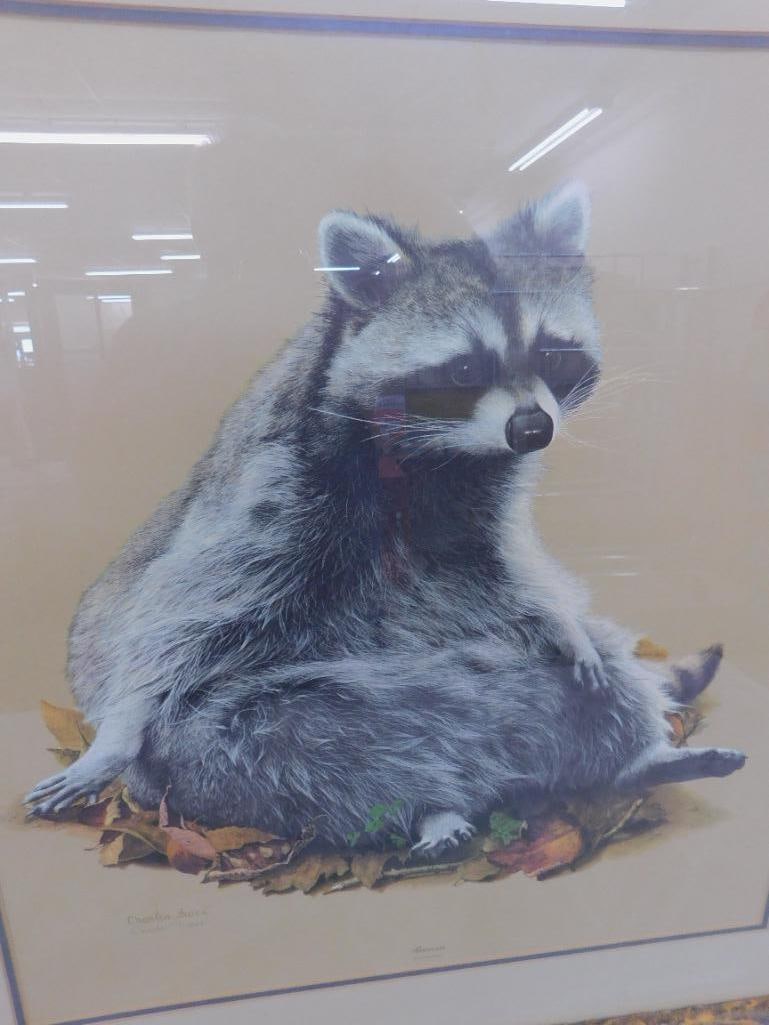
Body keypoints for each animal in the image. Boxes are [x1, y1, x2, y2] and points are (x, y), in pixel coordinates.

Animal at [26, 183, 745, 852]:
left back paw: (632, 759)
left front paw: (559, 618)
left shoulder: (480, 501)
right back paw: (433, 806)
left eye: (551, 353)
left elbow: (500, 573)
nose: (533, 428)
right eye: (464, 366)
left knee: (595, 678)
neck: (433, 455)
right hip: (223, 747)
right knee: (292, 739)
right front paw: (119, 728)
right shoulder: (274, 486)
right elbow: (182, 617)